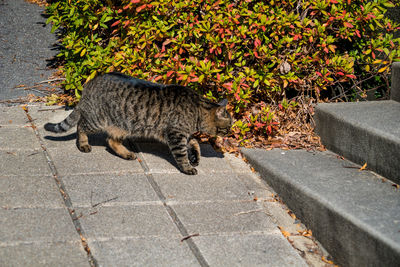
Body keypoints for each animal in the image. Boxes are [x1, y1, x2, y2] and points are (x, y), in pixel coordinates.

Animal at [44, 72, 233, 175]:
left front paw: (195, 156)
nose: (230, 133)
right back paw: (83, 144)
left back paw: (127, 154)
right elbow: (181, 154)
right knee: (81, 126)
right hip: (96, 120)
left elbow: (194, 142)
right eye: (228, 126)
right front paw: (187, 167)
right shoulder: (175, 135)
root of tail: (89, 84)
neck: (197, 110)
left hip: (122, 126)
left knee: (110, 141)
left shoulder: (182, 135)